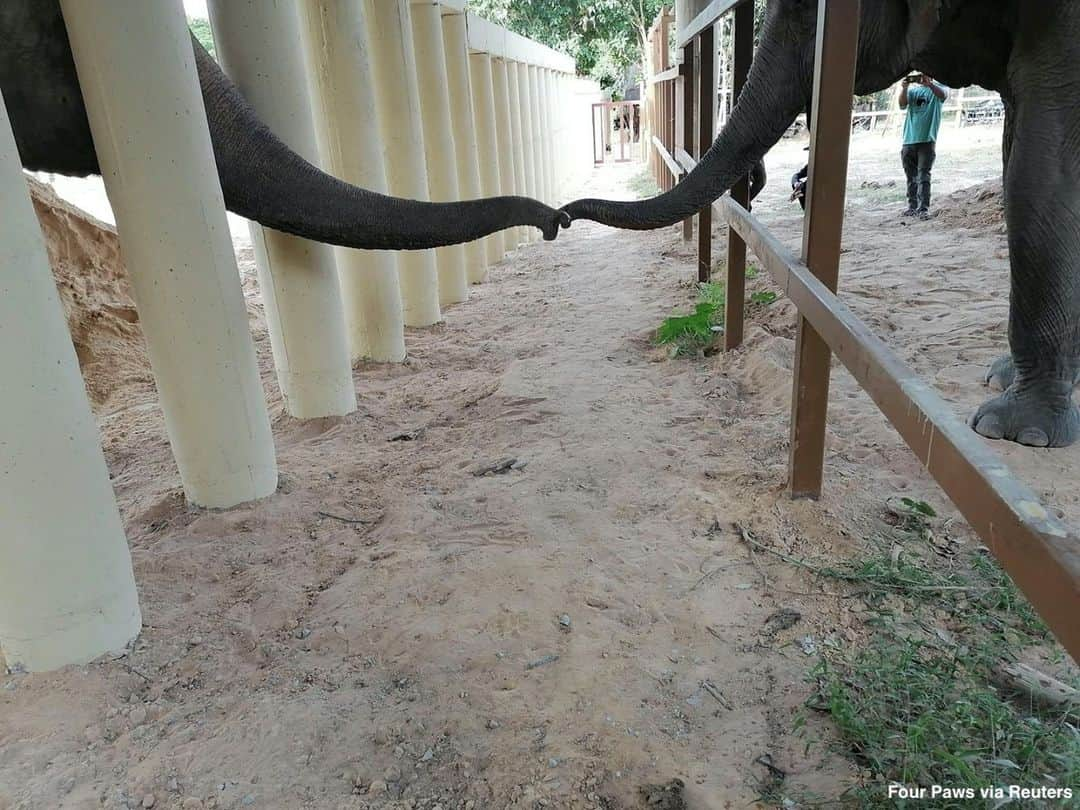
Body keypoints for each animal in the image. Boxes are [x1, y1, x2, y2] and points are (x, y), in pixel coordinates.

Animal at [561, 0, 1080, 451]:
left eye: (804, 13)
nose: (561, 216)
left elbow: (1041, 168)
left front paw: (1015, 432)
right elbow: (1020, 154)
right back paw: (1003, 375)